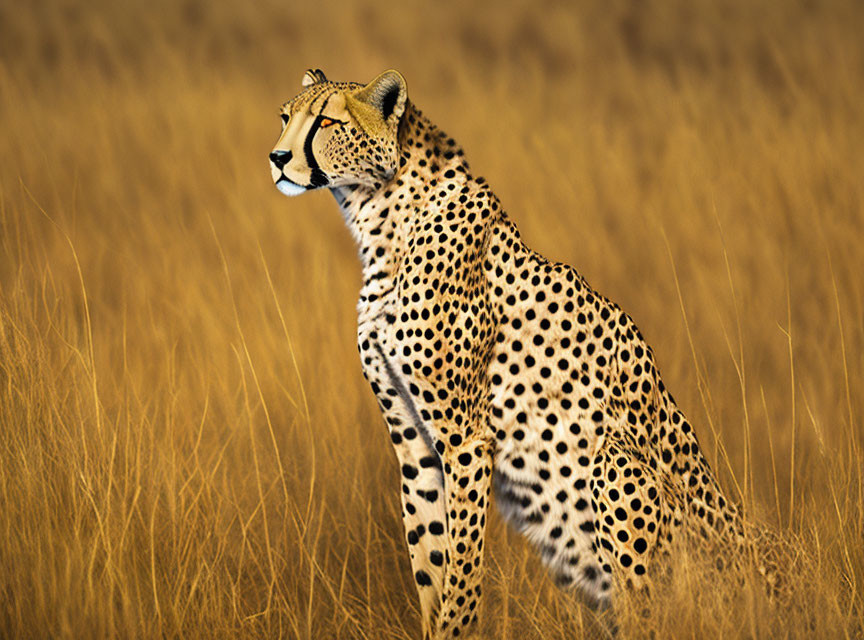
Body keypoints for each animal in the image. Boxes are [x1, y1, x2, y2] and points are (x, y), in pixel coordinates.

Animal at [270, 67, 756, 636]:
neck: (378, 217)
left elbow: (461, 569)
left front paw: (456, 624)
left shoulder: (465, 439)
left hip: (616, 466)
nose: (277, 157)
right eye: (286, 116)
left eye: (326, 122)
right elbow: (430, 559)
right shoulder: (413, 442)